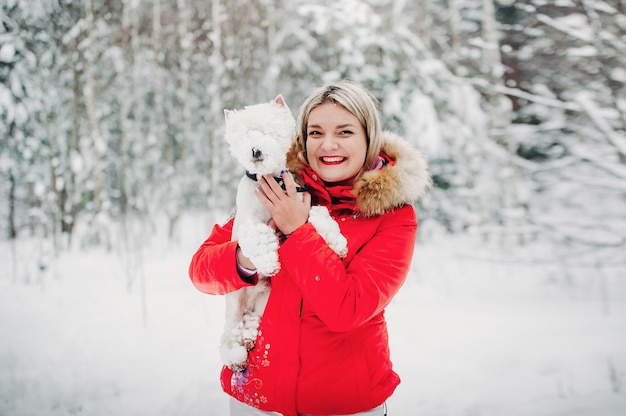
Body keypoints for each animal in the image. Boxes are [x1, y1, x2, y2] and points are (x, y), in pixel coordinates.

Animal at [219, 95, 346, 370]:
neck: (270, 179)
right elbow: (259, 236)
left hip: (264, 298)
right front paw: (269, 263)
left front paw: (336, 242)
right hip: (234, 301)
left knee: (251, 319)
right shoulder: (248, 221)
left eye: (269, 131)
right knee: (229, 331)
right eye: (245, 135)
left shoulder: (302, 201)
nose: (255, 150)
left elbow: (319, 217)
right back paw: (235, 355)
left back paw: (248, 336)